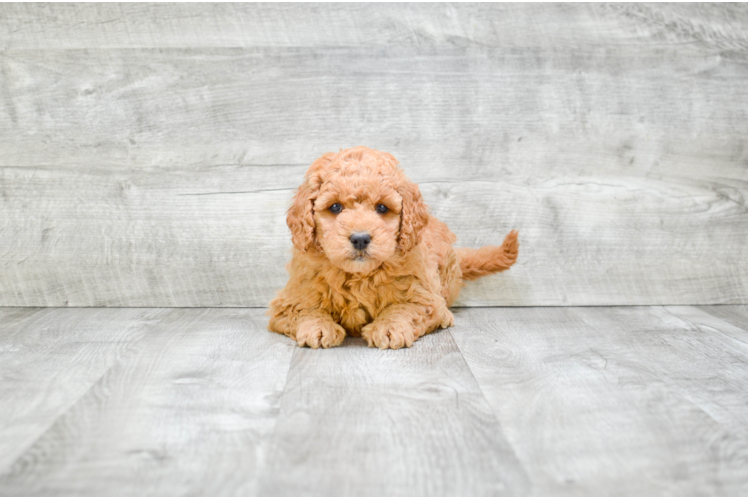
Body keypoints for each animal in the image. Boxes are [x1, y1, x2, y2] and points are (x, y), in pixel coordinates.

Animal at [268, 146, 520, 348]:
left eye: (381, 208)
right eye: (335, 207)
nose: (360, 238)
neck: (359, 275)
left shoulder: (422, 293)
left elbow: (403, 308)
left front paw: (389, 327)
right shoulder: (293, 297)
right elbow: (306, 309)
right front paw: (318, 327)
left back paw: (446, 315)